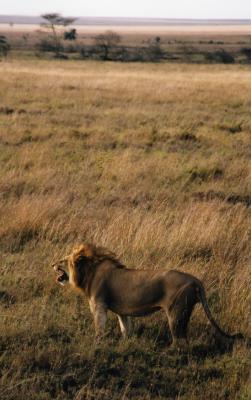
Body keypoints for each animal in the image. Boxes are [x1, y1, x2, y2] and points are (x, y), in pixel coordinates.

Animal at [51, 242, 243, 346]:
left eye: (63, 261)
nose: (52, 264)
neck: (88, 273)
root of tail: (196, 280)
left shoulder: (99, 306)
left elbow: (99, 328)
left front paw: (97, 344)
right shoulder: (122, 312)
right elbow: (125, 328)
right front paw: (126, 344)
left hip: (176, 313)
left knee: (180, 342)